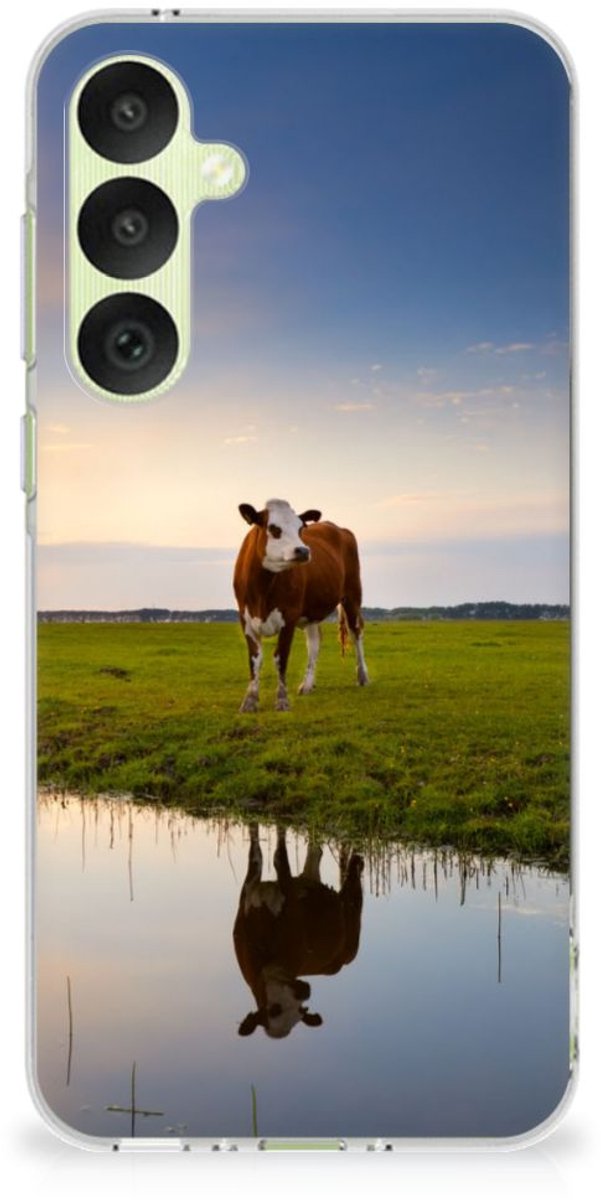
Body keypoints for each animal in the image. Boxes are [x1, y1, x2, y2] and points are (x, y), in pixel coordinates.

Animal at [233, 498, 368, 712]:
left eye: (300, 528)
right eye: (274, 528)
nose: (304, 550)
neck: (262, 589)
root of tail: (338, 528)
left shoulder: (289, 616)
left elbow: (280, 658)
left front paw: (282, 700)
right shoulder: (245, 618)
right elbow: (255, 659)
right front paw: (250, 701)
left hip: (352, 595)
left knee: (356, 632)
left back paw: (362, 676)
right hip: (312, 611)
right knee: (314, 642)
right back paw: (307, 684)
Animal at [233, 824, 364, 1039]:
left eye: (300, 1011)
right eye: (274, 1010)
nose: (305, 992)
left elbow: (279, 857)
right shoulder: (248, 890)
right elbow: (256, 853)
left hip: (352, 926)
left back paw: (357, 861)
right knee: (315, 852)